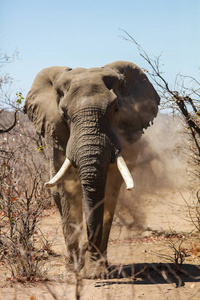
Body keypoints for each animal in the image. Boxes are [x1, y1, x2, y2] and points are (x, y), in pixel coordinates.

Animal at [23, 61, 160, 278]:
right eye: (64, 114)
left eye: (116, 109)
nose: (88, 248)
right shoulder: (56, 133)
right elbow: (67, 186)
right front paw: (77, 270)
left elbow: (110, 187)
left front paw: (96, 271)